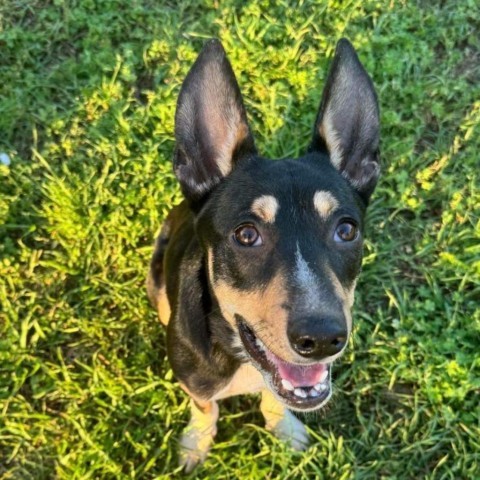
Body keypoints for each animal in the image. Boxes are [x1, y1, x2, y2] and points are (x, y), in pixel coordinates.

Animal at [148, 38, 380, 472]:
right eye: (246, 234)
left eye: (346, 230)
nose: (321, 339)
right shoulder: (197, 385)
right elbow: (205, 409)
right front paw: (195, 445)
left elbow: (274, 398)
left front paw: (285, 430)